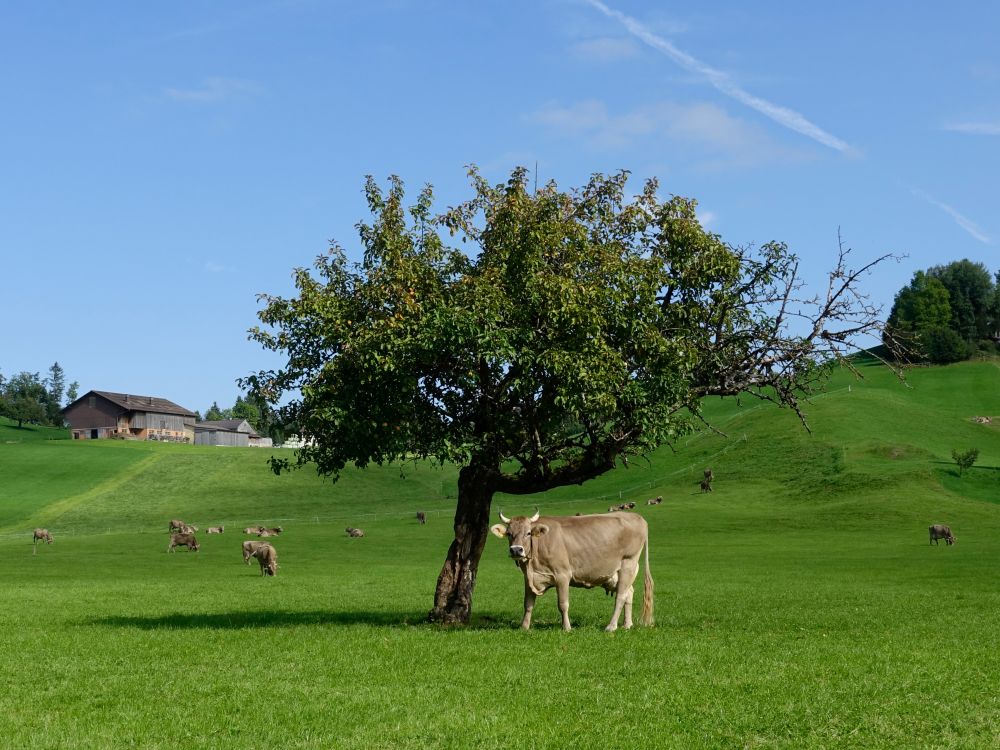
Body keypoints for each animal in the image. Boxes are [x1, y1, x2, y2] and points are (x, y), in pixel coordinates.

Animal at [488, 508, 652, 632]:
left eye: (528, 533)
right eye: (509, 534)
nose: (516, 550)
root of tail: (637, 517)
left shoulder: (562, 575)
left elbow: (563, 604)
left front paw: (566, 628)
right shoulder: (529, 578)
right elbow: (528, 604)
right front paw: (524, 627)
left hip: (628, 564)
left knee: (621, 596)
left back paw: (611, 627)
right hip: (617, 574)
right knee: (629, 593)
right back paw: (627, 625)